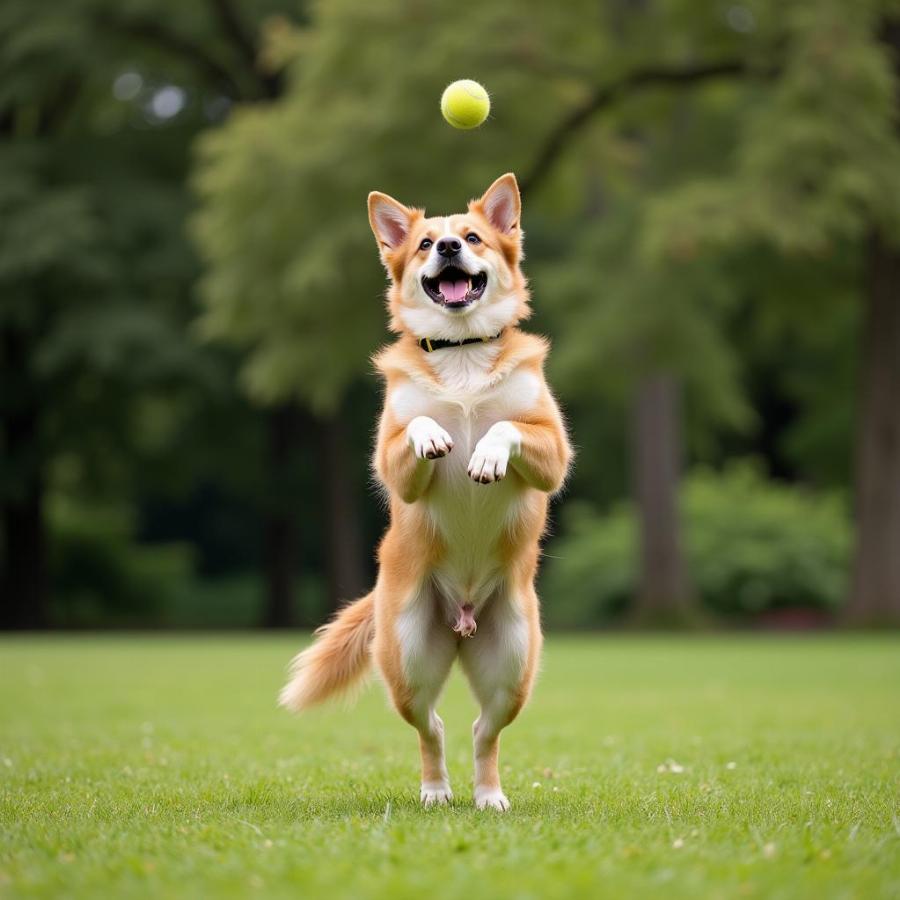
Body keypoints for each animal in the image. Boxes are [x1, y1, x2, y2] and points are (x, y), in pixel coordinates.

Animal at [280, 172, 568, 812]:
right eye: (423, 245)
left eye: (473, 237)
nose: (449, 248)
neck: (462, 355)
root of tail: (462, 619)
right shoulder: (390, 458)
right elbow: (414, 425)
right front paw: (437, 433)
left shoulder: (554, 450)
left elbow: (507, 428)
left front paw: (485, 453)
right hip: (409, 657)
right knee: (431, 727)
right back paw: (436, 791)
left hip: (513, 664)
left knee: (483, 731)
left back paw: (489, 796)